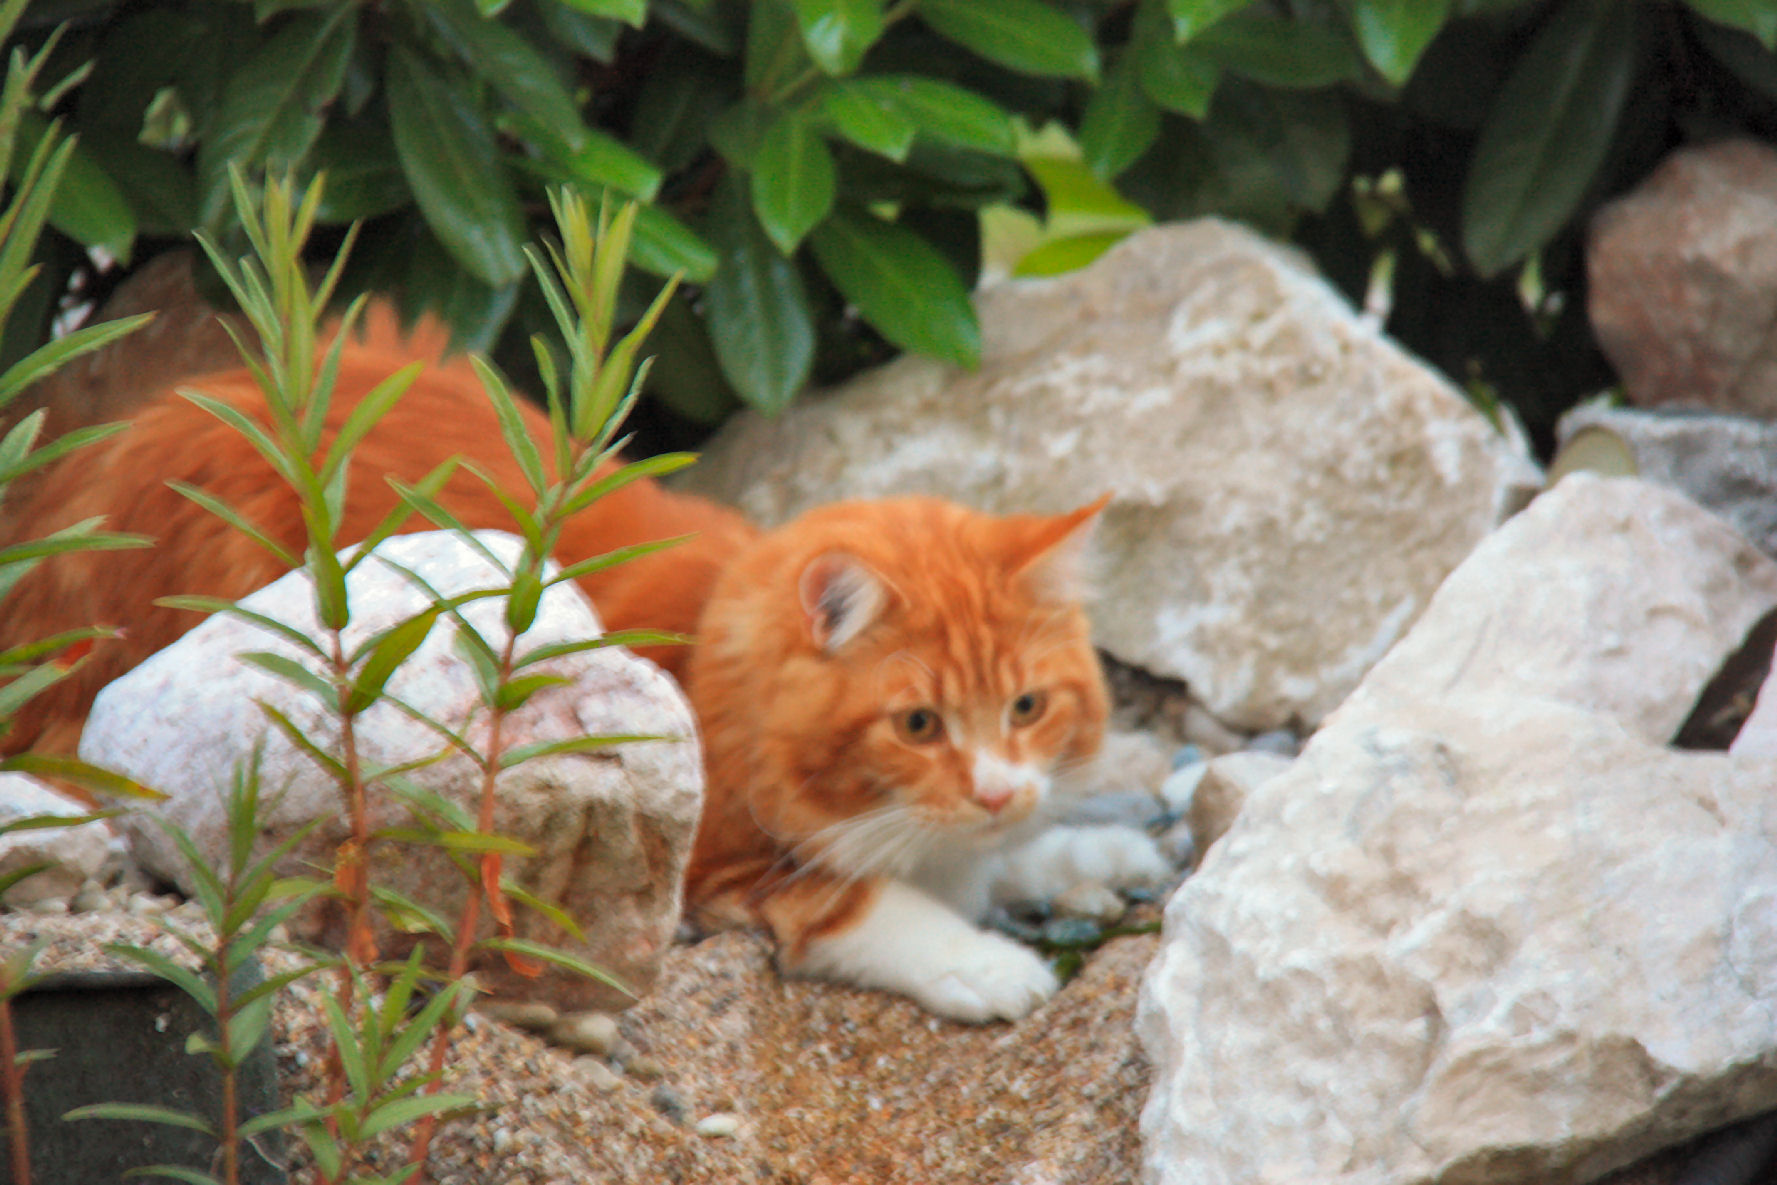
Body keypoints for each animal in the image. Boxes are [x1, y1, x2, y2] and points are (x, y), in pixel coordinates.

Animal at [0, 308, 1167, 1021]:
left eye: (1027, 707)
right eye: (919, 724)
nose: (995, 788)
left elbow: (1004, 854)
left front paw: (1081, 851)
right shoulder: (717, 860)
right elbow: (866, 904)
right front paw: (989, 960)